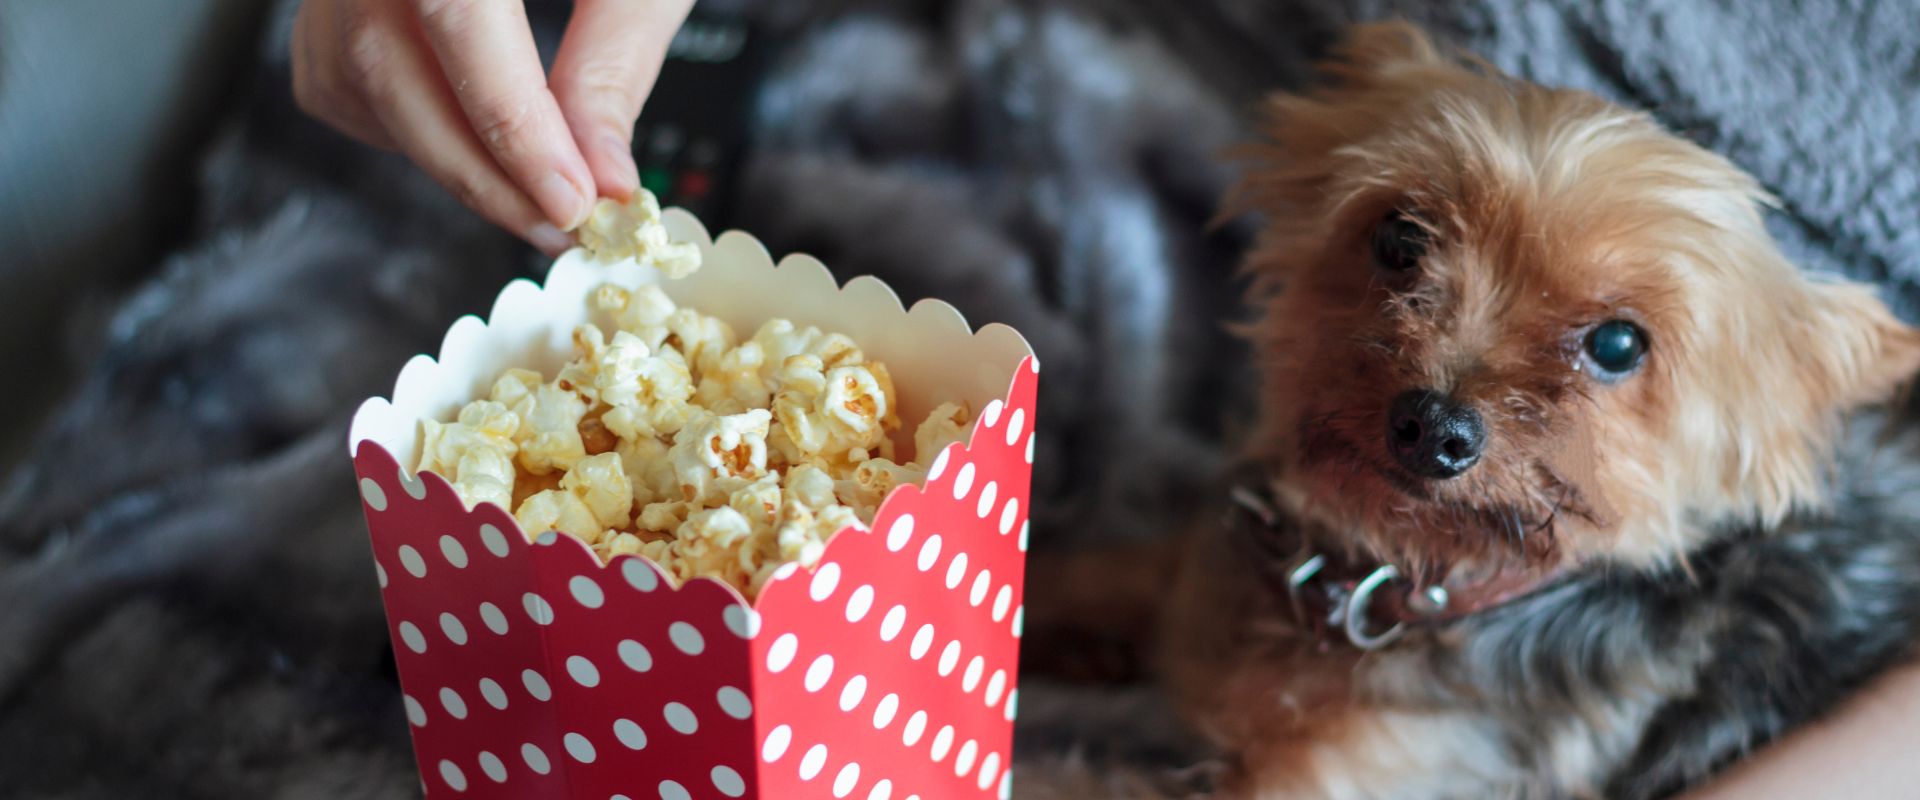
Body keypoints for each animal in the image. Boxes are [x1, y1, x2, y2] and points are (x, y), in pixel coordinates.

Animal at [1029, 21, 1920, 794]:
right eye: (1400, 239)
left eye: (1619, 345)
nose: (1434, 429)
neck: (1379, 585)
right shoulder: (1180, 571)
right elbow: (1085, 574)